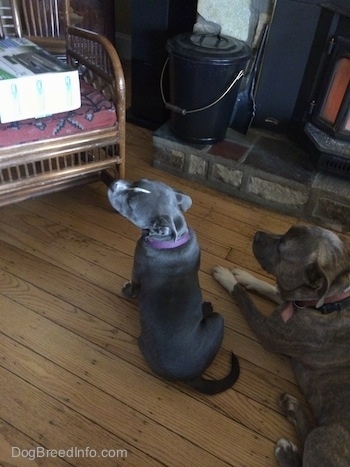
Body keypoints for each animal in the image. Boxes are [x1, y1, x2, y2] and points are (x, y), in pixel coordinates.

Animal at [212, 225, 350, 466]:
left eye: (281, 248)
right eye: (287, 231)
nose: (257, 234)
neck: (331, 301)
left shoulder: (266, 330)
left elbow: (243, 297)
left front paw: (228, 278)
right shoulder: (291, 302)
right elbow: (270, 288)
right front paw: (245, 276)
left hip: (325, 438)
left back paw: (285, 450)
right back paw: (291, 406)